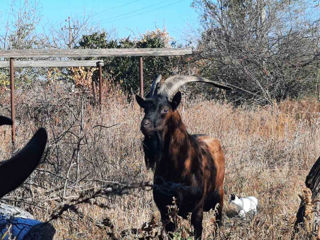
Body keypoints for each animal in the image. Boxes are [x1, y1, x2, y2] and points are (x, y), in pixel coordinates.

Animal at [136, 75, 230, 238]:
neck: (180, 166)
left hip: (219, 197)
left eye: (165, 109)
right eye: (145, 108)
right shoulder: (165, 209)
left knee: (217, 224)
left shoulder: (197, 209)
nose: (144, 125)